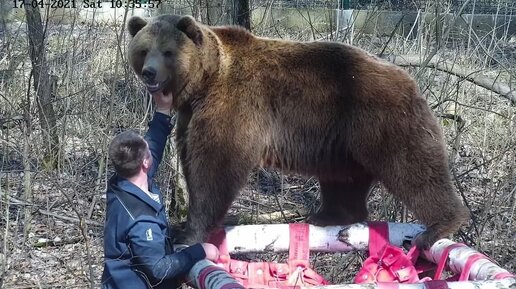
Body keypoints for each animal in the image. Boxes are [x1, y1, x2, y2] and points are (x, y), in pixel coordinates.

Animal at [126, 13, 472, 249]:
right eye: (144, 50)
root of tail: (411, 81)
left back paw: (438, 226)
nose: (150, 73)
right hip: (343, 143)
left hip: (381, 121)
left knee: (414, 168)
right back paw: (329, 215)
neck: (204, 83)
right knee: (345, 180)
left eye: (168, 51)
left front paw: (190, 230)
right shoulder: (191, 114)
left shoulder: (234, 105)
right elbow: (191, 155)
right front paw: (182, 226)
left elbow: (215, 166)